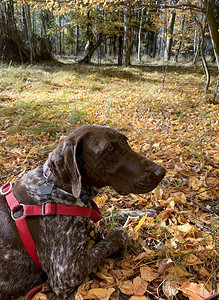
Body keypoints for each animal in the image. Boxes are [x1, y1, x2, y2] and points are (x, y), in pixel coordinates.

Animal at [0, 125, 165, 298]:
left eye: (125, 141)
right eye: (109, 149)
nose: (161, 171)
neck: (58, 187)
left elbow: (120, 213)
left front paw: (149, 212)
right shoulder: (65, 274)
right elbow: (118, 235)